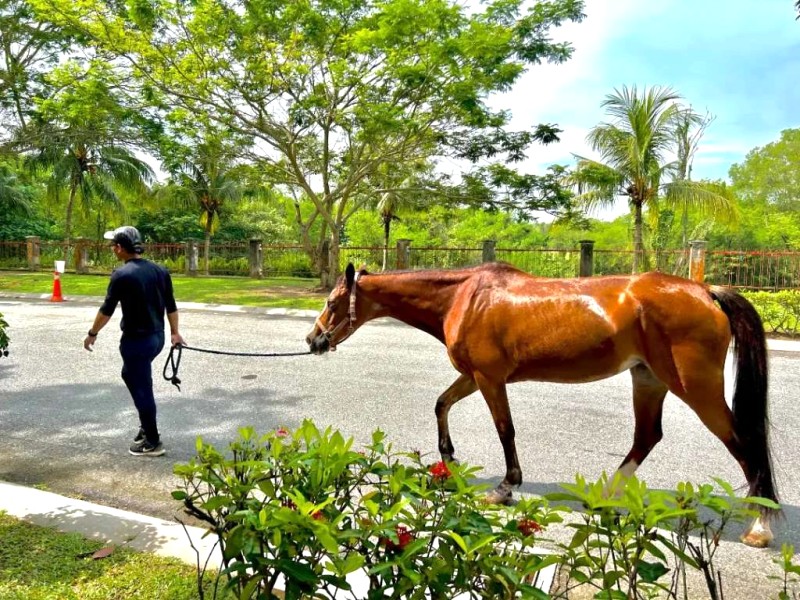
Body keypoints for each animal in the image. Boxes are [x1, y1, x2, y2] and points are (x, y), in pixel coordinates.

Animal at [304, 260, 780, 548]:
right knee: (647, 436)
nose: (313, 340)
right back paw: (604, 498)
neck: (465, 297)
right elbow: (441, 404)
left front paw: (505, 487)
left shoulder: (490, 379)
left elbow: (505, 429)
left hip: (695, 388)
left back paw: (760, 525)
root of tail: (706, 292)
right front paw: (449, 460)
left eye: (331, 302)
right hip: (647, 379)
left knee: (744, 444)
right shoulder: (473, 376)